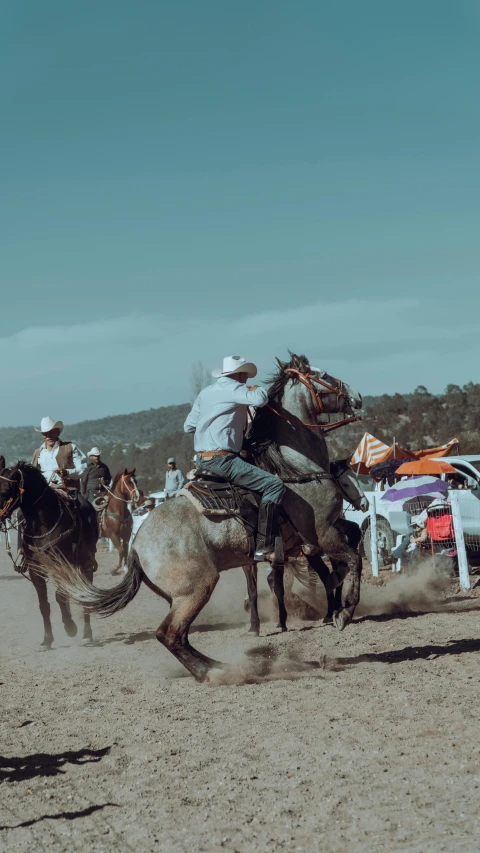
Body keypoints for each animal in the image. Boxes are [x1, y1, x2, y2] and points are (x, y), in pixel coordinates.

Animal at [0, 462, 98, 648]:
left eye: (5, 490)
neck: (44, 523)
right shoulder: (36, 569)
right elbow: (44, 605)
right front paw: (47, 639)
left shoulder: (63, 564)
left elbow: (60, 596)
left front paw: (70, 627)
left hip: (85, 566)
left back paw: (87, 634)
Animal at [46, 352, 364, 680]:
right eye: (322, 375)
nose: (357, 396)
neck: (295, 469)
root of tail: (137, 547)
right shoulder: (321, 531)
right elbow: (353, 559)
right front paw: (344, 610)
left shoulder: (321, 532)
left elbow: (354, 539)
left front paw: (336, 595)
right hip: (197, 589)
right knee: (169, 635)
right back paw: (213, 673)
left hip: (180, 596)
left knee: (180, 636)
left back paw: (216, 666)